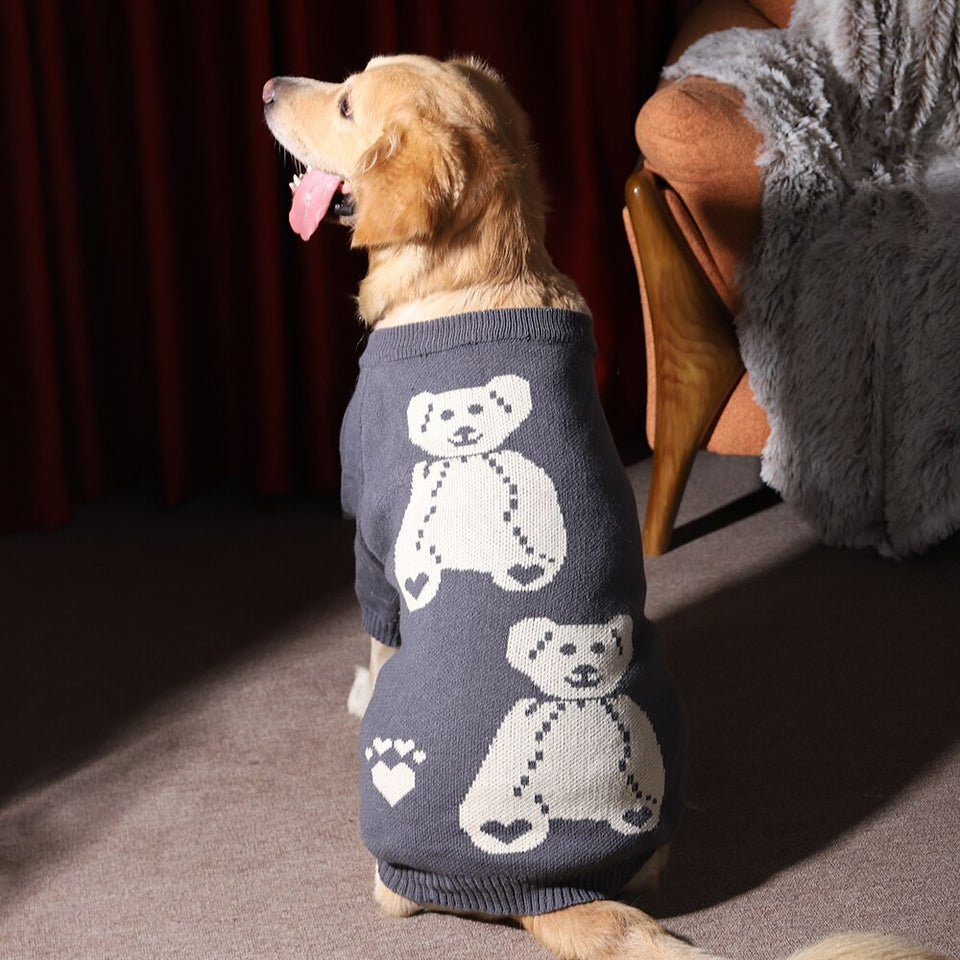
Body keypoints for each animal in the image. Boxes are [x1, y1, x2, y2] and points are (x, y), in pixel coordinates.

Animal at [394, 374, 567, 611]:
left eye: (476, 409)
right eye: (445, 415)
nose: (463, 430)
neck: (467, 459)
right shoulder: (430, 484)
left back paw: (521, 569)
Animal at [458, 614, 666, 855]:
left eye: (598, 647)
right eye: (566, 649)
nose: (584, 669)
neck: (580, 703)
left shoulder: (632, 715)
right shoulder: (527, 721)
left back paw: (632, 814)